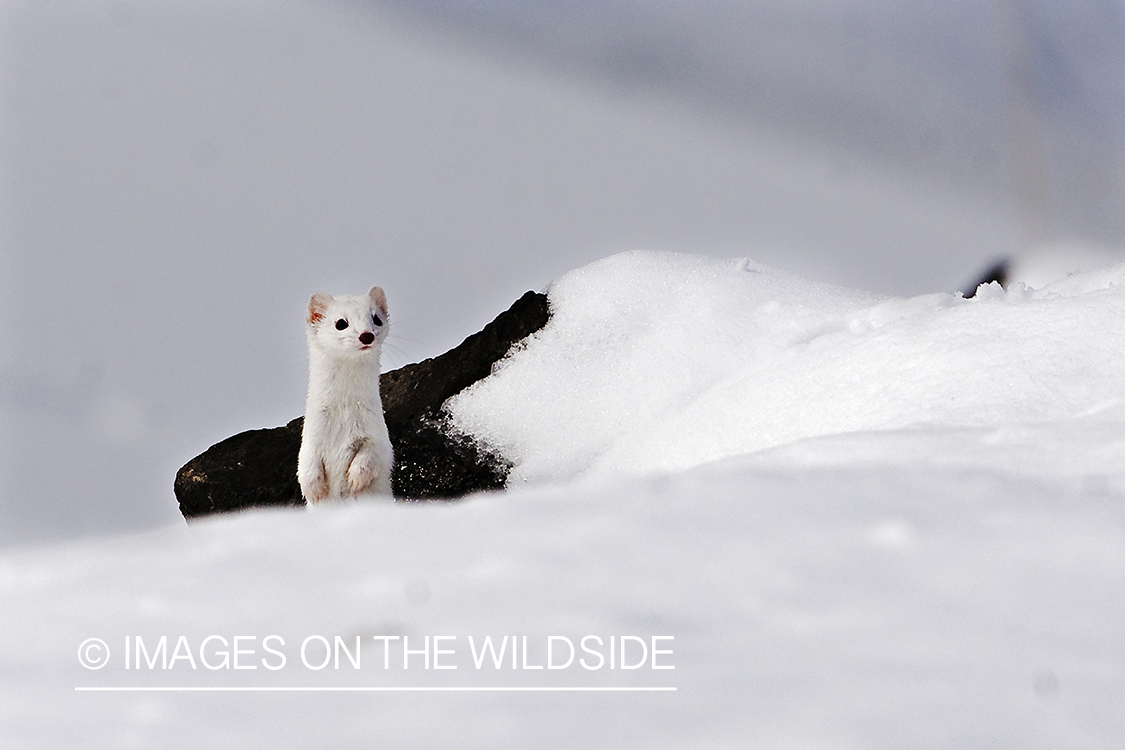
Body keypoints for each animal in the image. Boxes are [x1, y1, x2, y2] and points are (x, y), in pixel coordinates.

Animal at [297, 287, 393, 503]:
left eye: (376, 318)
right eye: (340, 323)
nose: (366, 335)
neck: (344, 411)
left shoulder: (377, 431)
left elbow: (375, 455)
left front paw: (355, 478)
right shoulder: (311, 434)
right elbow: (305, 463)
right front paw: (314, 490)